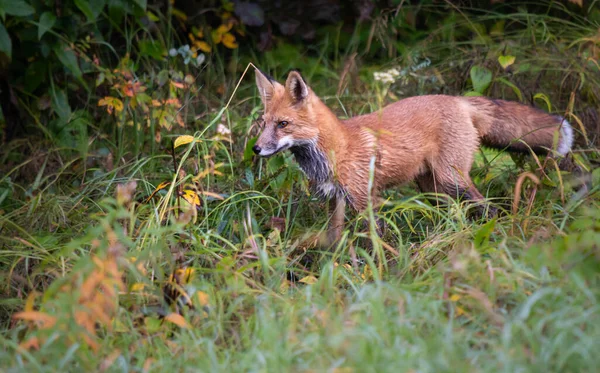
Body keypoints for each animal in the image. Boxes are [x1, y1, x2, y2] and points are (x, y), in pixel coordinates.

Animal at [251, 69, 576, 243]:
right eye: (263, 123)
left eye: (283, 124)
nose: (256, 149)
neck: (335, 151)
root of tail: (458, 100)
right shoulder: (336, 201)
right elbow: (334, 244)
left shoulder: (366, 200)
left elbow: (377, 243)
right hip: (432, 187)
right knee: (451, 213)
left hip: (451, 179)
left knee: (489, 208)